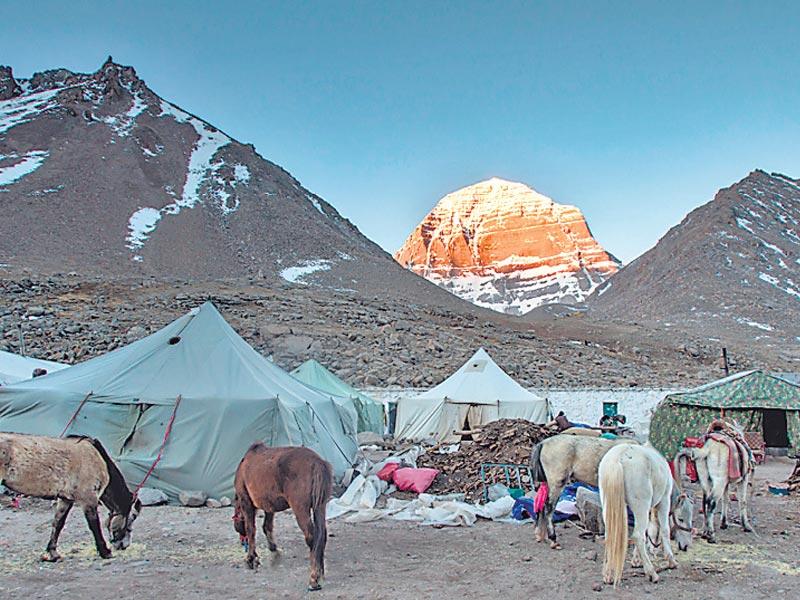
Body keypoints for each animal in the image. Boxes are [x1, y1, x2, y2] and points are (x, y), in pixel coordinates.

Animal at [0, 434, 141, 560]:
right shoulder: (88, 498)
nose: (124, 545)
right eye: (130, 519)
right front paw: (105, 552)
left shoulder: (65, 499)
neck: (98, 459)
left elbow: (58, 524)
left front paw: (53, 554)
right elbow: (94, 525)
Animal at [233, 446, 332, 592]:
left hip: (300, 508)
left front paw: (251, 559)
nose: (241, 540)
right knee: (322, 536)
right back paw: (321, 573)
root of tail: (318, 463)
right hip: (320, 506)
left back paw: (313, 579)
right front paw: (274, 551)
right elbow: (267, 526)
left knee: (312, 537)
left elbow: (251, 530)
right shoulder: (269, 506)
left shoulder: (246, 502)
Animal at [600, 442, 692, 584]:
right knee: (638, 535)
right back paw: (651, 573)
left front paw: (636, 560)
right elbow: (664, 530)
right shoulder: (664, 502)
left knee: (611, 534)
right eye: (681, 519)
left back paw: (608, 575)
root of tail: (619, 457)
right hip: (641, 506)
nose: (686, 545)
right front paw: (671, 561)